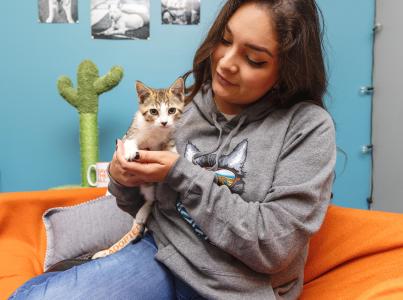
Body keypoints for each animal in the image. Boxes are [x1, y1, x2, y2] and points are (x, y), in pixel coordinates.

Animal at [92, 77, 185, 260]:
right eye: (153, 111)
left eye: (171, 110)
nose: (164, 122)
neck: (155, 131)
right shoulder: (131, 133)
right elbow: (129, 141)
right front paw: (129, 151)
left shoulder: (168, 135)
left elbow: (169, 143)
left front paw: (173, 154)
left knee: (151, 199)